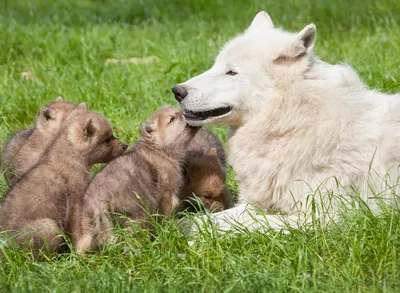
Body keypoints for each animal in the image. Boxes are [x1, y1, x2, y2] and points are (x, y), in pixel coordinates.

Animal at [173, 10, 400, 232]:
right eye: (215, 66)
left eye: (231, 72)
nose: (177, 91)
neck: (294, 122)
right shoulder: (256, 203)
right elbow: (208, 219)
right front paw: (176, 229)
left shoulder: (325, 218)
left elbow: (252, 225)